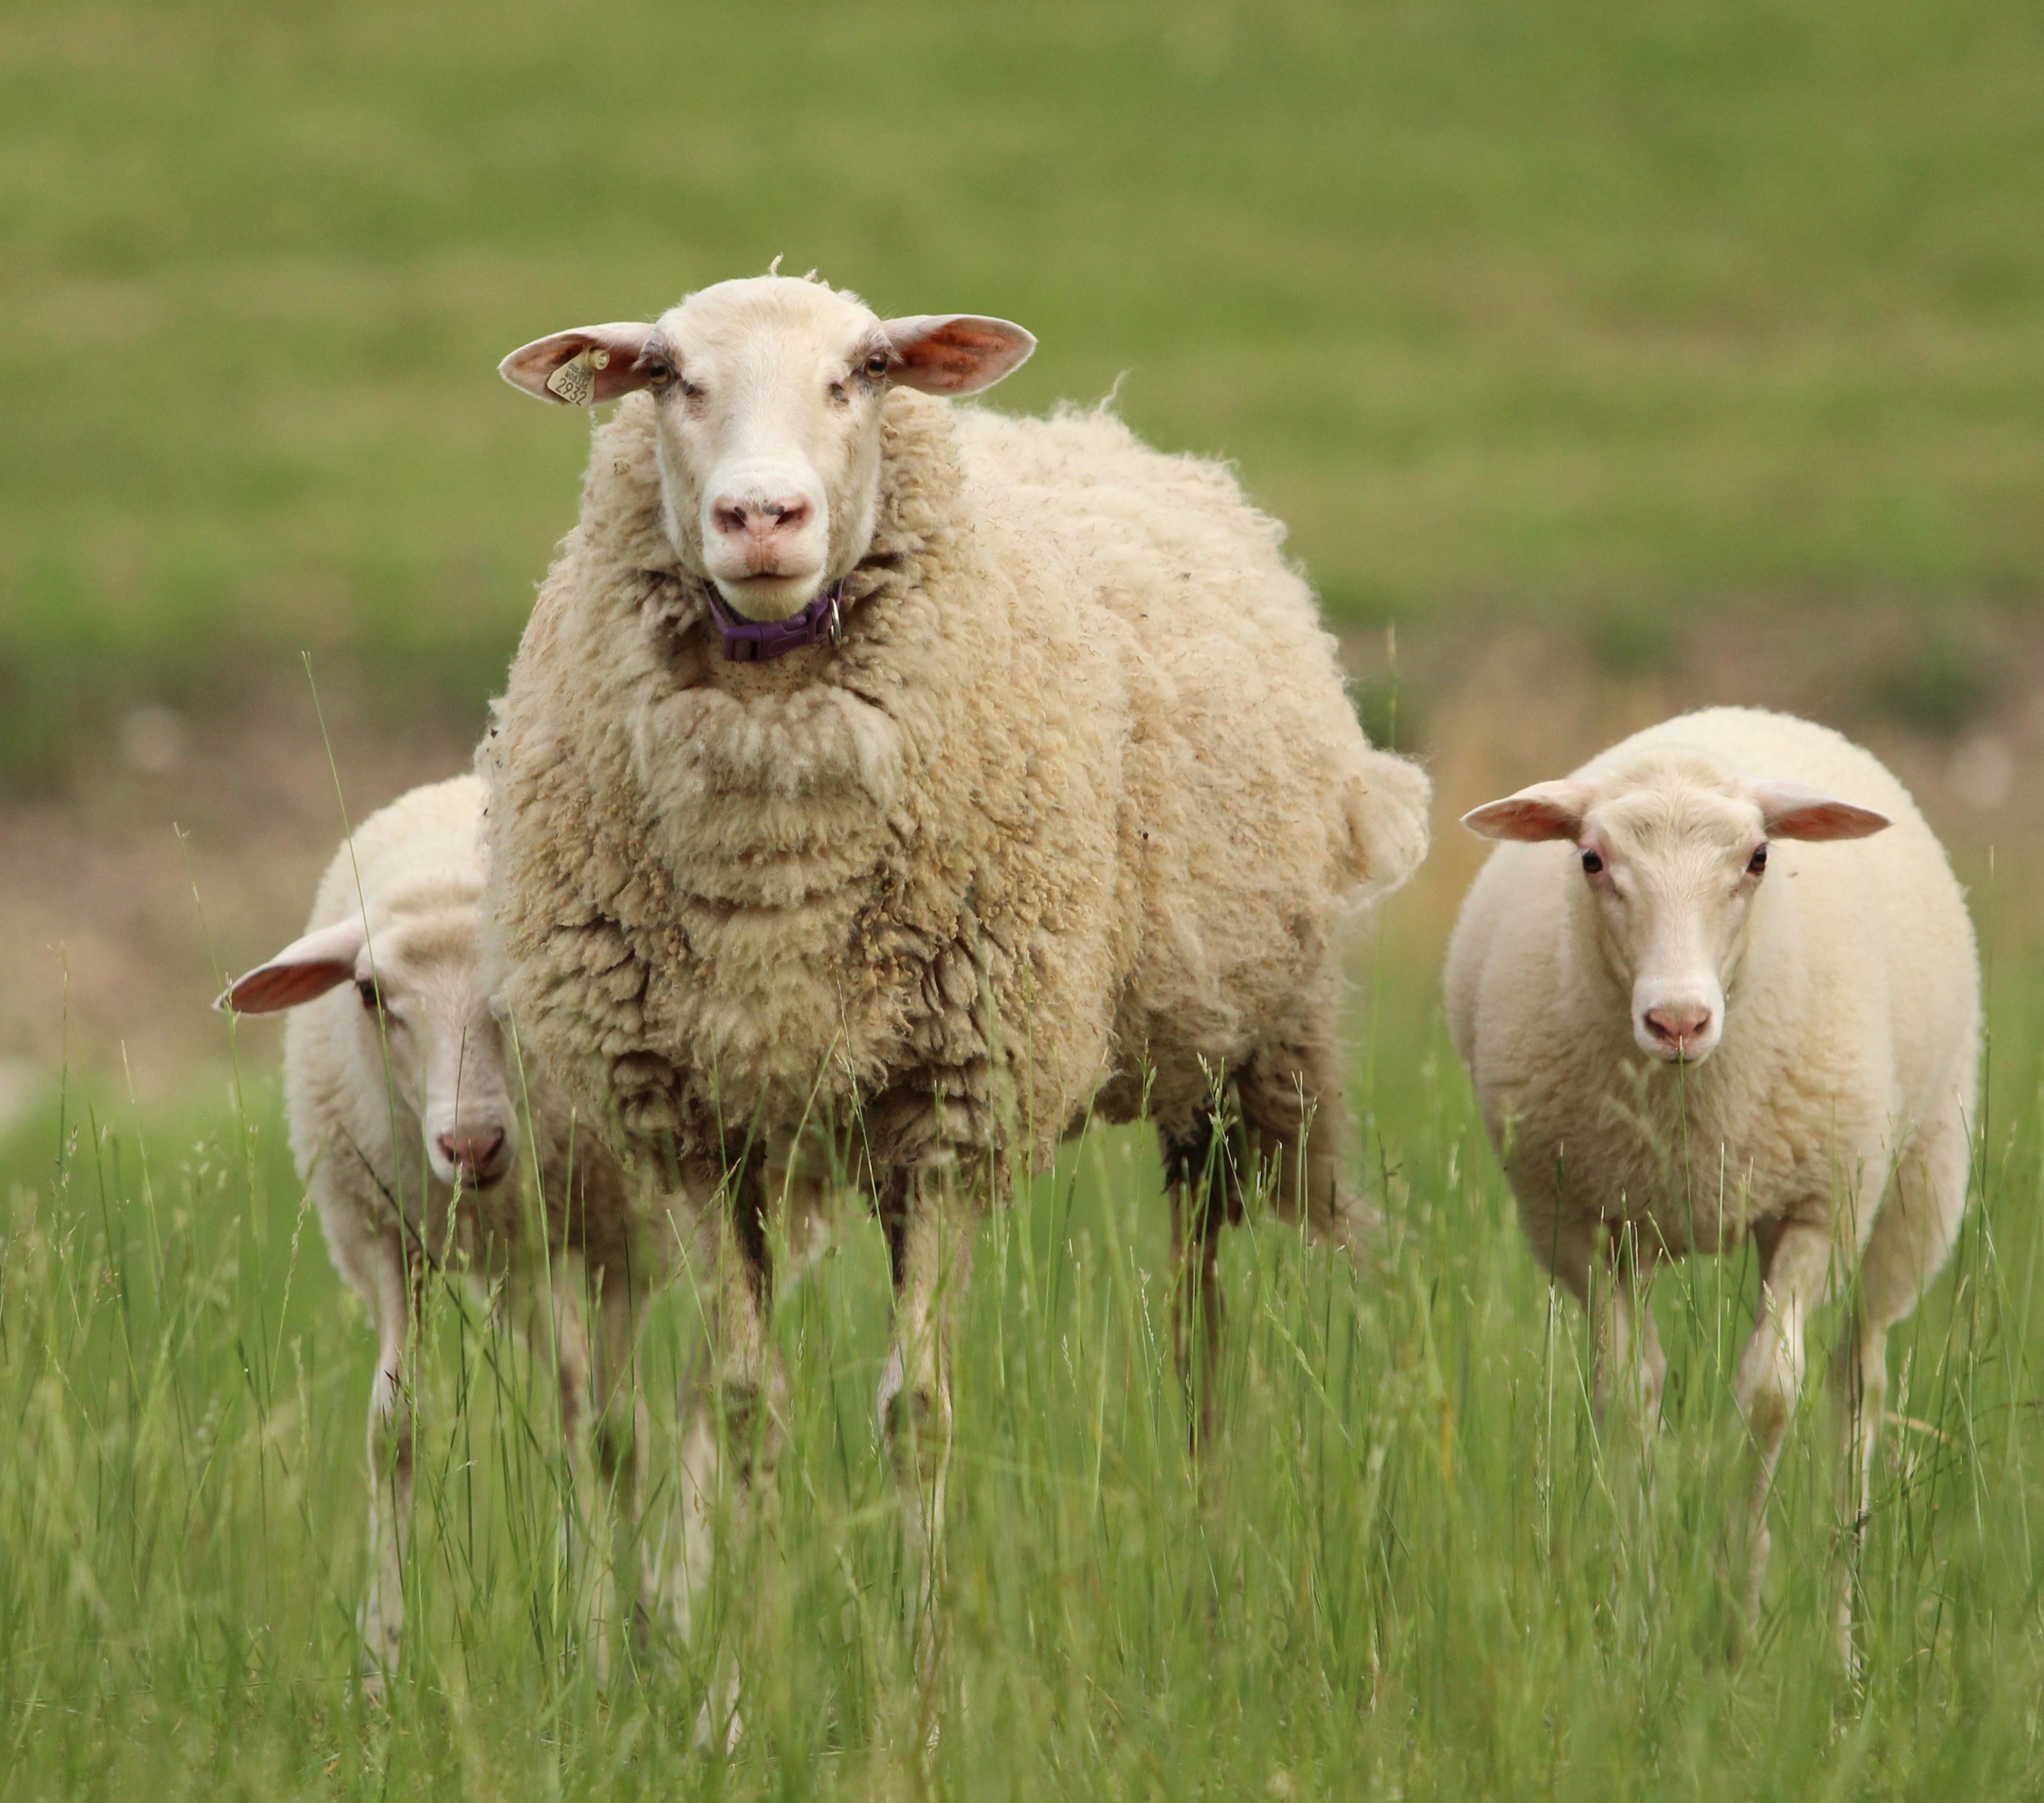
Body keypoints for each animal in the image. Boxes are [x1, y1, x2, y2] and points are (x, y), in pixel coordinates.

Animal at [217, 775, 652, 1694]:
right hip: (518, 1265)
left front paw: (620, 1651)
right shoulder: (388, 1234)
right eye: (369, 993)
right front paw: (381, 1666)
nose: (472, 1145)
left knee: (615, 1427)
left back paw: (625, 1635)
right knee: (576, 1402)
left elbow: (612, 1436)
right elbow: (395, 1431)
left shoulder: (610, 1237)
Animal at [479, 272, 1431, 1663]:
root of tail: (1102, 429)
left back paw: (1208, 1558)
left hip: (1233, 1064)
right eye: (664, 375)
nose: (760, 518)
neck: (777, 856)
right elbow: (743, 1401)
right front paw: (740, 1657)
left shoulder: (950, 1109)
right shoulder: (693, 1126)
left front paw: (915, 1659)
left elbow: (915, 1413)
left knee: (1200, 1324)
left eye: (863, 372)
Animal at [1444, 706, 1979, 1655]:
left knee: (1855, 1385)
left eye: (1758, 858)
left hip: (1914, 1185)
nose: (1678, 1020)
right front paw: (1637, 1617)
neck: (1693, 1113)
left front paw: (1736, 1612)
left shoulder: (1816, 1209)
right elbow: (1627, 1397)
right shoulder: (1580, 1221)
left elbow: (1768, 1395)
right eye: (1591, 859)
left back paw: (1840, 1636)